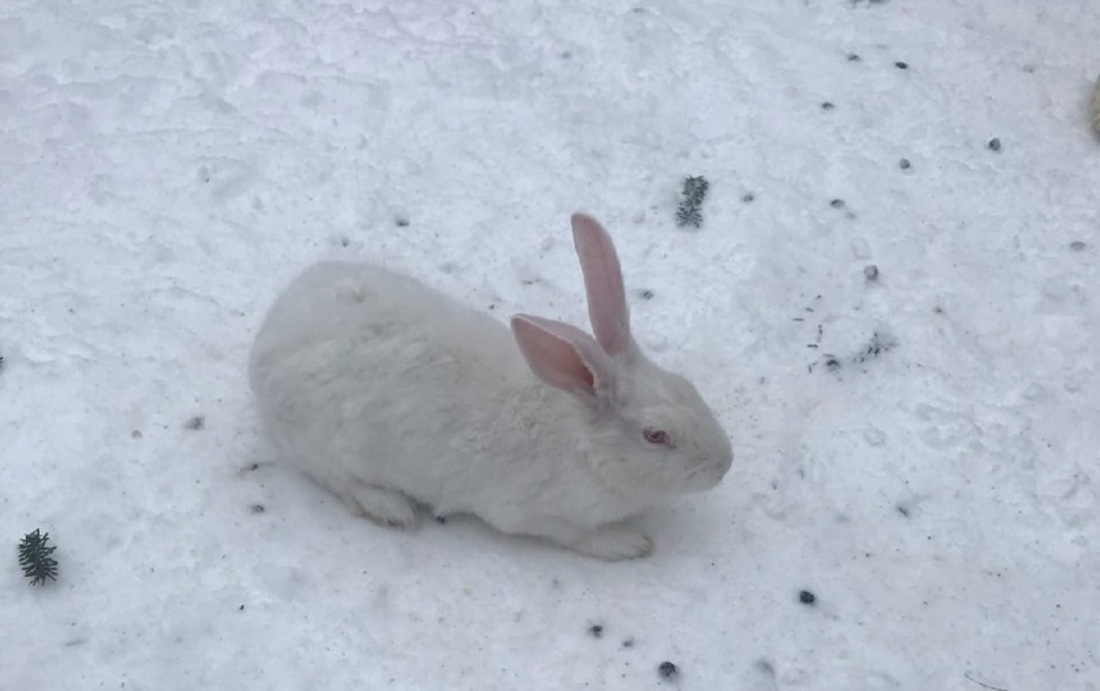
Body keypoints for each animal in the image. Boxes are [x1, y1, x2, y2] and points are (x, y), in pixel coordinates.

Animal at [248, 213, 730, 558]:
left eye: (688, 386)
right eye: (656, 435)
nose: (724, 465)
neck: (585, 444)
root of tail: (267, 342)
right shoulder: (540, 516)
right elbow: (581, 537)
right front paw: (632, 543)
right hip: (324, 444)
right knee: (340, 480)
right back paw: (392, 509)